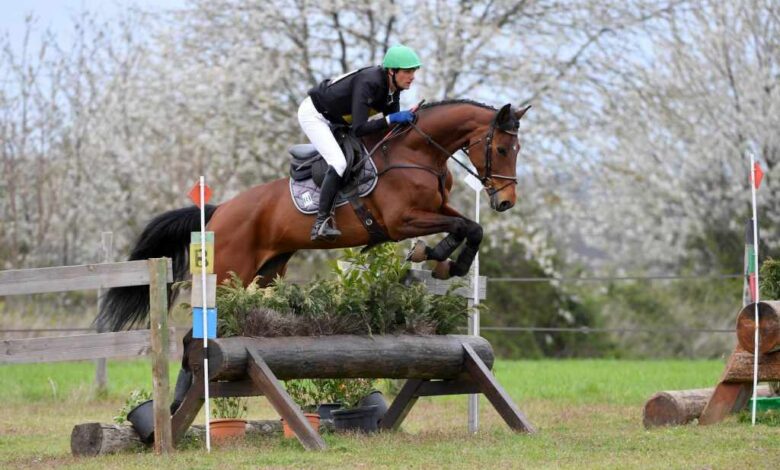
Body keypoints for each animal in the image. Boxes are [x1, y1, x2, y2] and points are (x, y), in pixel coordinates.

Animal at [94, 100, 528, 330]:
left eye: (517, 149)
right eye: (502, 149)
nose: (506, 201)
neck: (418, 153)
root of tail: (218, 212)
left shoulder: (435, 207)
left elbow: (471, 226)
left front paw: (444, 262)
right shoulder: (401, 220)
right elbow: (460, 225)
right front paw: (437, 257)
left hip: (268, 272)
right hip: (232, 272)